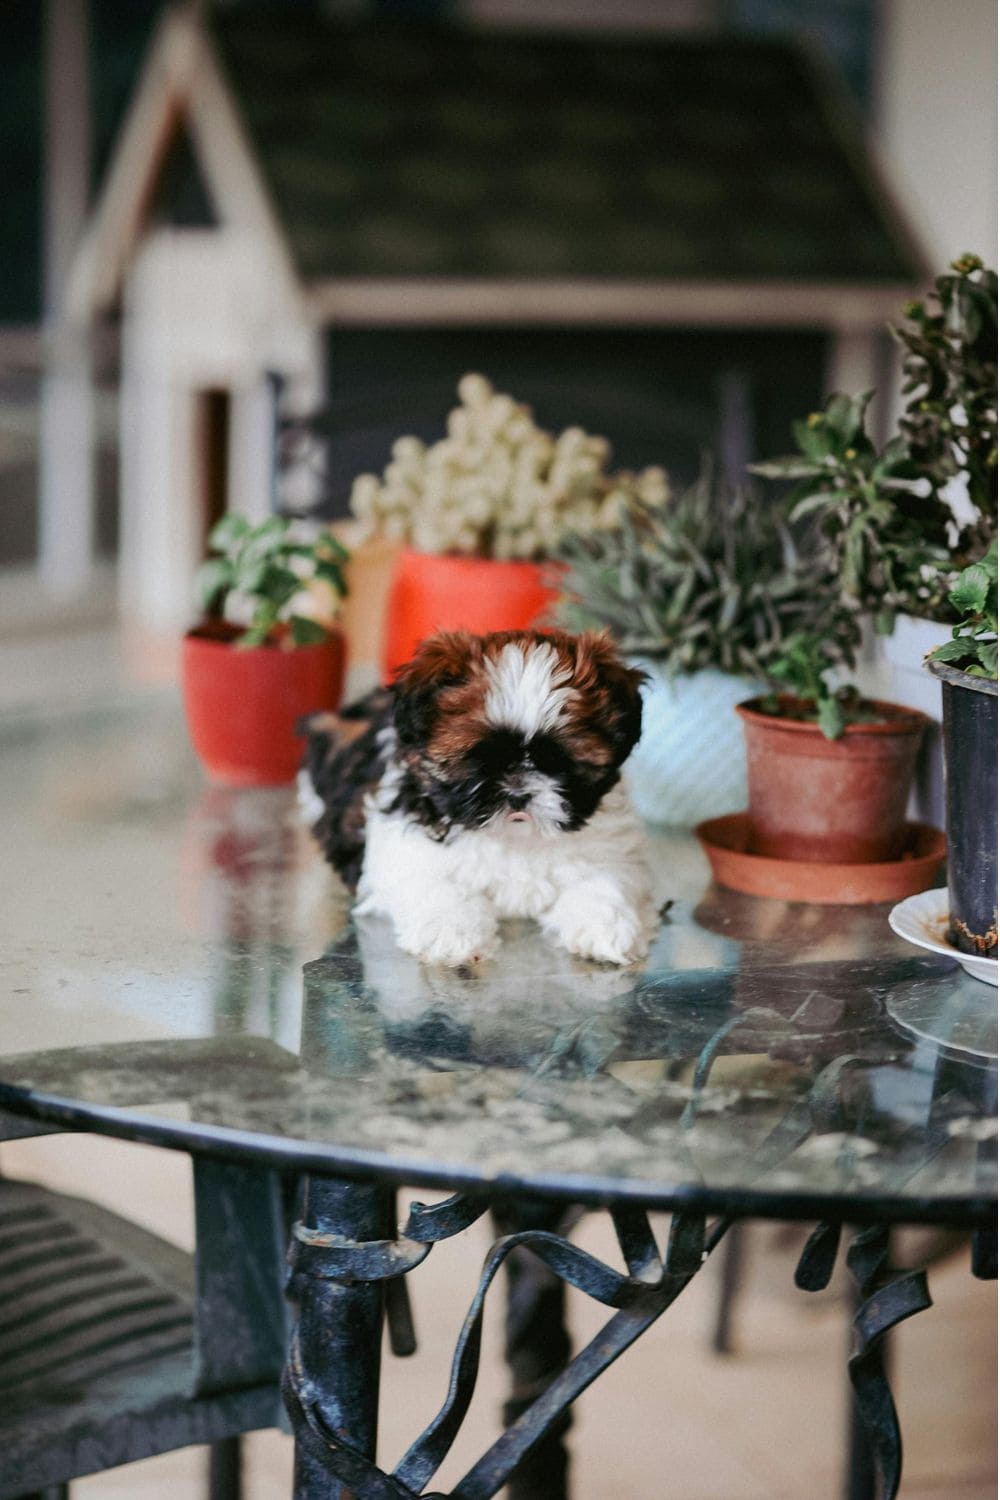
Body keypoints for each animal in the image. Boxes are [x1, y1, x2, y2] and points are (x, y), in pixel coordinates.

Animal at [296, 627, 656, 966]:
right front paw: (451, 931)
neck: (516, 839)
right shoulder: (403, 850)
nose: (518, 793)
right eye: (481, 758)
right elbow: (434, 883)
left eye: (558, 760)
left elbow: (604, 879)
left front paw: (606, 927)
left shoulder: (609, 847)